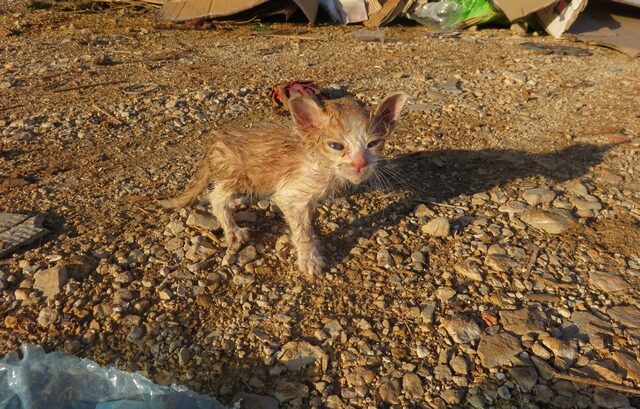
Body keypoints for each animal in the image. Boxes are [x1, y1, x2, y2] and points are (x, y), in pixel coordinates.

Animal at [162, 89, 408, 274]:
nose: (360, 163)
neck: (320, 163)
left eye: (374, 143)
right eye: (336, 146)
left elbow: (307, 219)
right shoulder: (289, 194)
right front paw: (309, 259)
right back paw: (232, 229)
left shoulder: (308, 197)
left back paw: (236, 203)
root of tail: (215, 145)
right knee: (214, 195)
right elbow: (301, 230)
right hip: (240, 174)